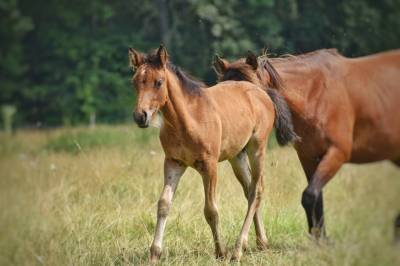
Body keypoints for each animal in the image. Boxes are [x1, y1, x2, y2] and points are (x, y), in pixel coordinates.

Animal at [128, 45, 296, 262]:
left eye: (159, 82)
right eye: (135, 82)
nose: (140, 116)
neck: (188, 119)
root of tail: (260, 92)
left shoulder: (209, 165)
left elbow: (211, 210)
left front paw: (220, 252)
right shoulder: (173, 162)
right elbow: (164, 204)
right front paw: (154, 254)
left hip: (257, 149)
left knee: (255, 192)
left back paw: (237, 250)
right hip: (237, 157)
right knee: (249, 188)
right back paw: (260, 242)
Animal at [214, 48, 400, 241]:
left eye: (251, 94)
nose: (239, 141)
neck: (316, 95)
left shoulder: (337, 153)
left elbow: (310, 196)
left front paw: (319, 239)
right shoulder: (308, 157)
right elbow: (317, 198)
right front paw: (319, 237)